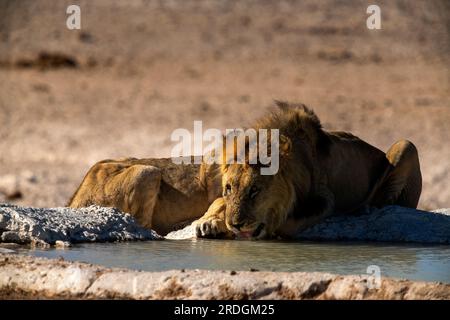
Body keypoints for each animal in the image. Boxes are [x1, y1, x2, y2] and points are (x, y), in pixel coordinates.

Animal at [67, 101, 422, 239]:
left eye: (255, 190)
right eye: (229, 187)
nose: (237, 224)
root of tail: (74, 197)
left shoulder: (323, 196)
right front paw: (211, 223)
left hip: (406, 145)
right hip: (146, 171)